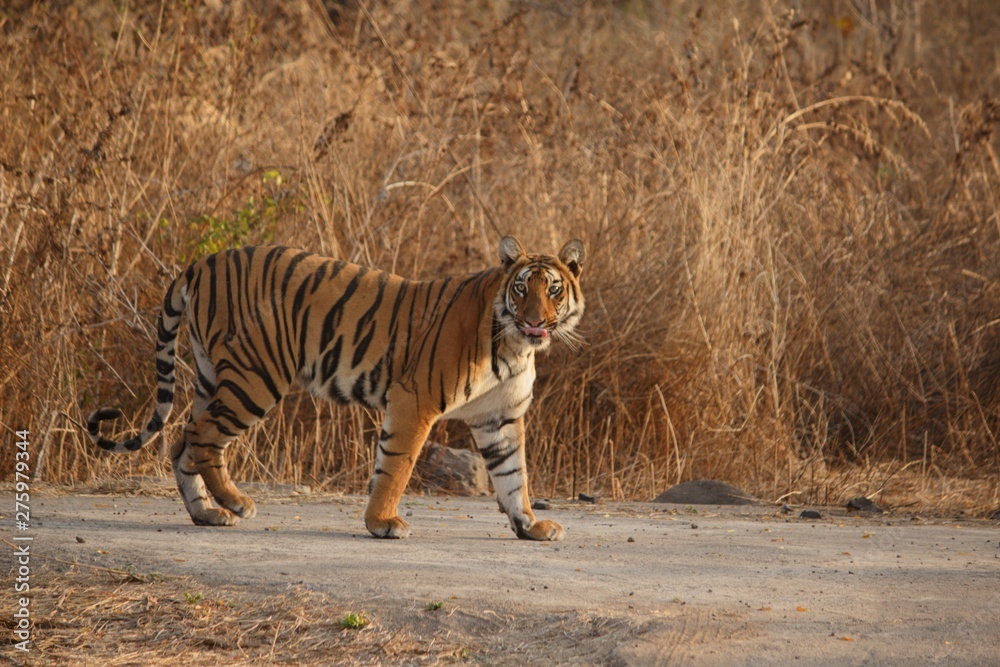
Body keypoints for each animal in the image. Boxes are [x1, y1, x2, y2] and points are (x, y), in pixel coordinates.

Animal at [87, 236, 585, 541]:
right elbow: (396, 466)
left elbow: (513, 475)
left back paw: (207, 514)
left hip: (213, 377)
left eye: (553, 290)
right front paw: (383, 523)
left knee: (179, 441)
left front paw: (530, 526)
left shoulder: (499, 418)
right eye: (521, 289)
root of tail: (200, 263)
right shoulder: (414, 401)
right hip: (255, 376)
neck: (516, 346)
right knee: (200, 437)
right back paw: (235, 502)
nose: (535, 321)